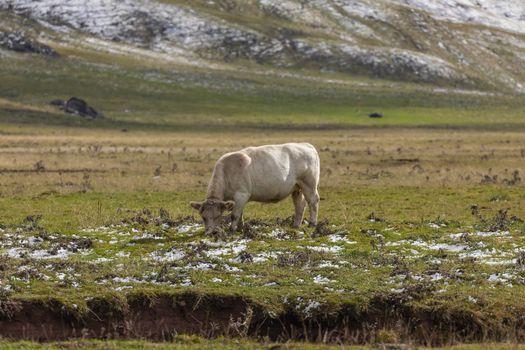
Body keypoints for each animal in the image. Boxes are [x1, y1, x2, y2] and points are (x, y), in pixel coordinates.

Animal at [189, 142, 320, 235]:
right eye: (203, 217)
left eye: (217, 216)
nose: (209, 233)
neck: (226, 171)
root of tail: (306, 145)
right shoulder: (238, 199)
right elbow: (240, 214)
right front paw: (240, 228)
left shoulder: (242, 194)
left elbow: (235, 214)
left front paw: (232, 229)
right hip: (297, 188)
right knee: (300, 205)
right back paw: (296, 225)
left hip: (309, 184)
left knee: (313, 201)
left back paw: (312, 223)